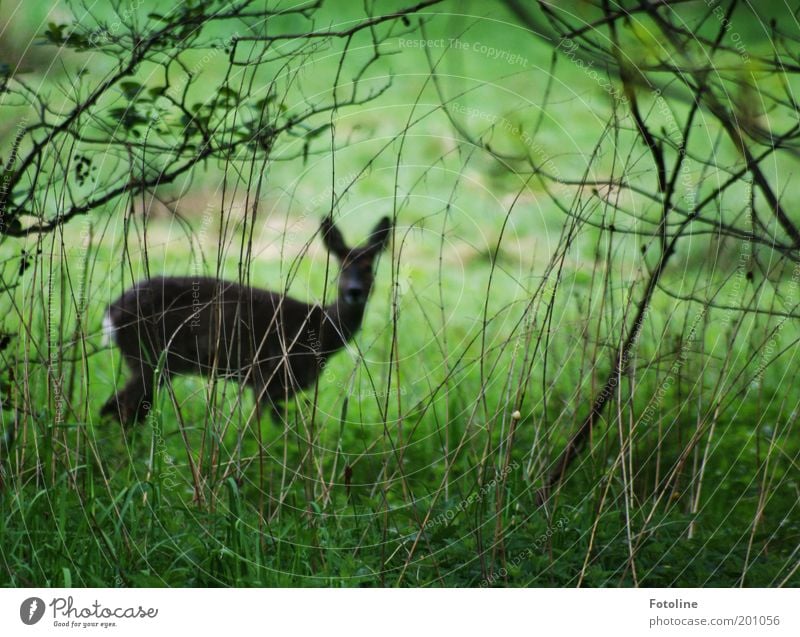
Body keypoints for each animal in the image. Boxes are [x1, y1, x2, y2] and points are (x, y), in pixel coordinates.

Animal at [100, 216, 394, 424]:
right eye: (341, 266)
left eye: (369, 267)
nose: (354, 291)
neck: (319, 330)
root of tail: (111, 313)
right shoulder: (270, 377)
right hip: (148, 358)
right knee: (121, 408)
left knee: (121, 409)